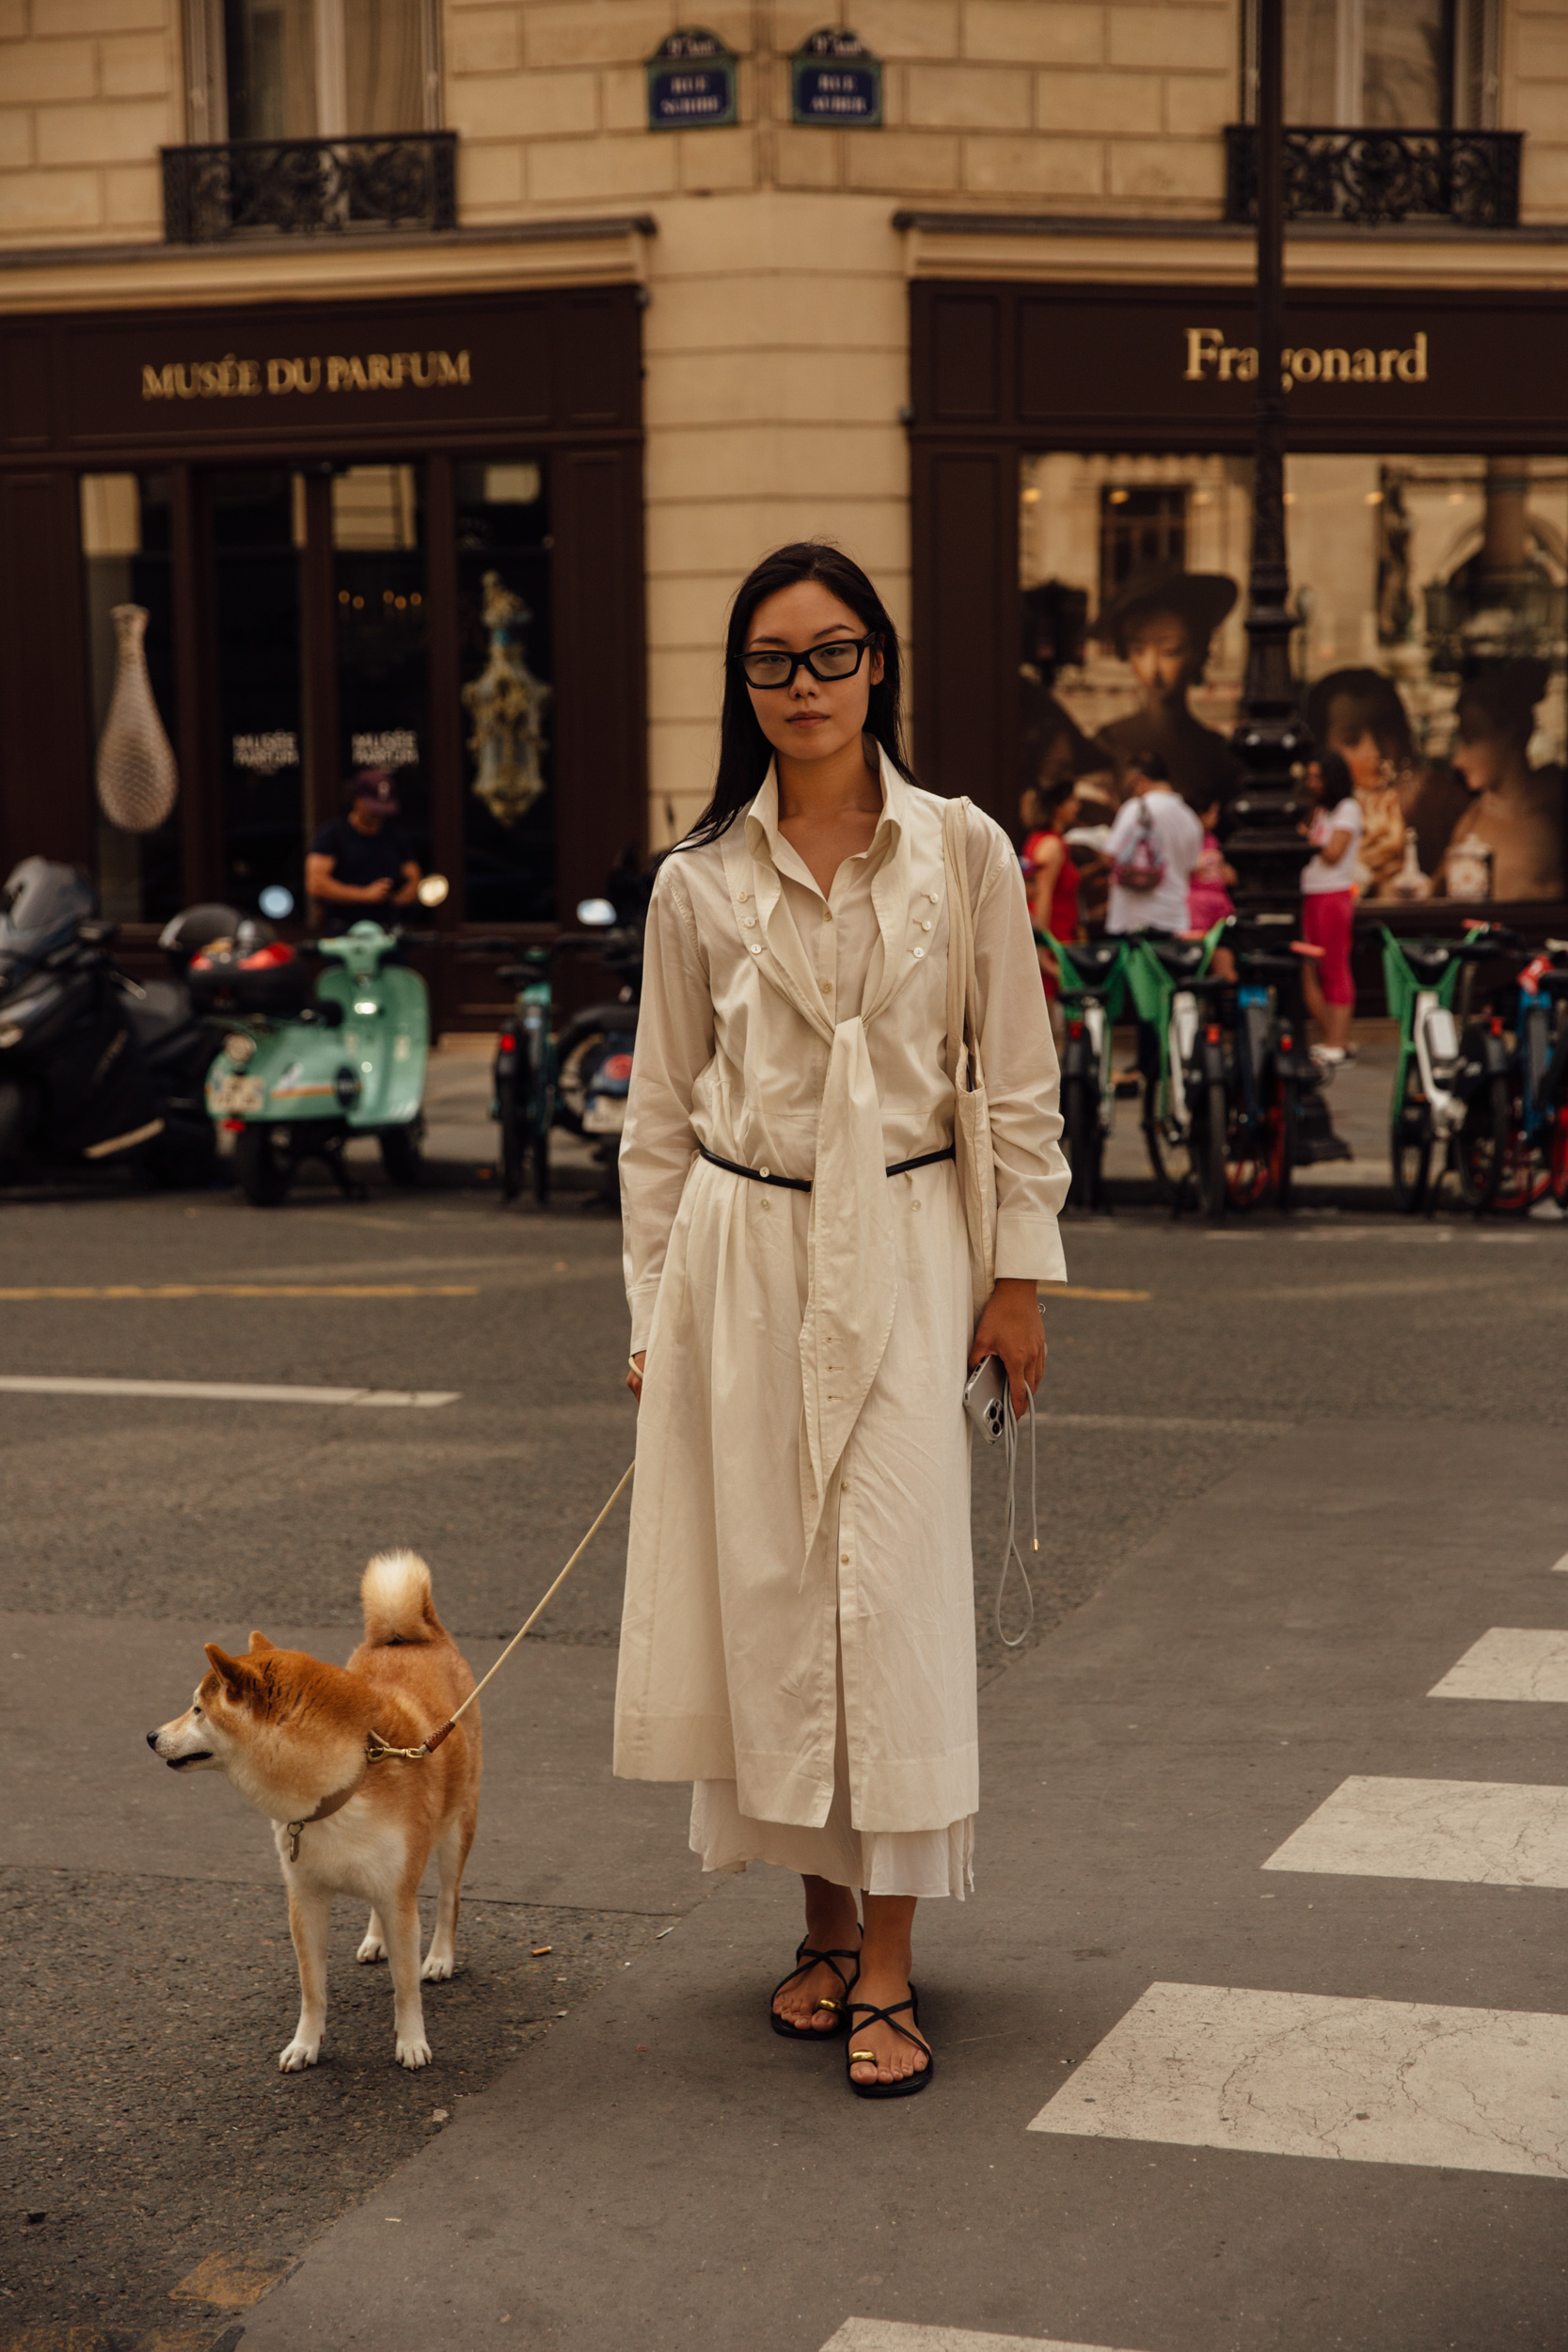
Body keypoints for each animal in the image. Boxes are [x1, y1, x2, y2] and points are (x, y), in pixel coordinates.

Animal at [154, 1552, 483, 2070]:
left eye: (197, 1710)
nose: (151, 1736)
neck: (340, 1786)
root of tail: (410, 1638)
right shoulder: (305, 1898)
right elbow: (313, 1988)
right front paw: (305, 2045)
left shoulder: (398, 1896)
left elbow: (405, 1986)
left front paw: (411, 2041)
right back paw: (376, 1940)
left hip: (456, 1829)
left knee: (449, 1899)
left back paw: (439, 1957)